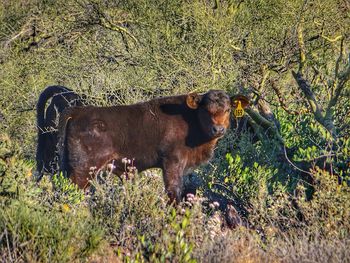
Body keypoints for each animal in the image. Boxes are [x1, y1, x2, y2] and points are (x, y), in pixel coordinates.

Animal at [57, 91, 249, 204]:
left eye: (228, 110)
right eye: (206, 110)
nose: (218, 129)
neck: (191, 119)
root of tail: (79, 111)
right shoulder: (172, 163)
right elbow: (174, 191)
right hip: (84, 170)